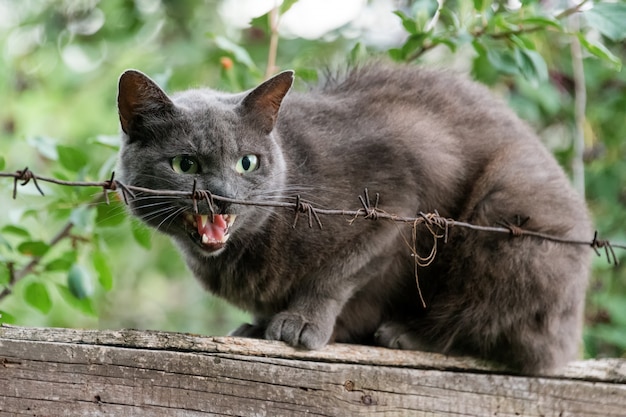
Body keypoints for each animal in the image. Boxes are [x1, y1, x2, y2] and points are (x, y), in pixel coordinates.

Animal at [116, 64, 588, 374]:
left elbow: (338, 273)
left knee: (490, 327)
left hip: (503, 218)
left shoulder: (394, 203)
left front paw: (300, 323)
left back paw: (406, 334)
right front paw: (259, 325)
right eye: (185, 165)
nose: (222, 196)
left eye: (247, 162)